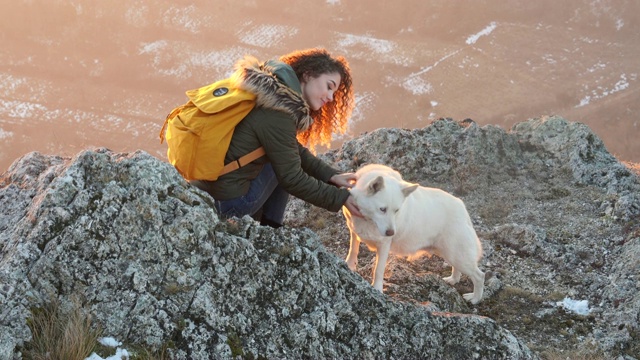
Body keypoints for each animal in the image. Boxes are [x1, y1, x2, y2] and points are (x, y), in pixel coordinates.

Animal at [342, 165, 482, 302]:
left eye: (397, 210)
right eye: (382, 209)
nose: (391, 232)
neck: (368, 219)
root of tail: (462, 207)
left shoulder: (384, 245)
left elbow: (378, 269)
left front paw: (377, 289)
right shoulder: (354, 230)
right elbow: (353, 248)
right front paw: (349, 264)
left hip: (457, 254)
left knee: (479, 275)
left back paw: (475, 298)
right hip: (449, 253)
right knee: (458, 268)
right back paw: (453, 279)